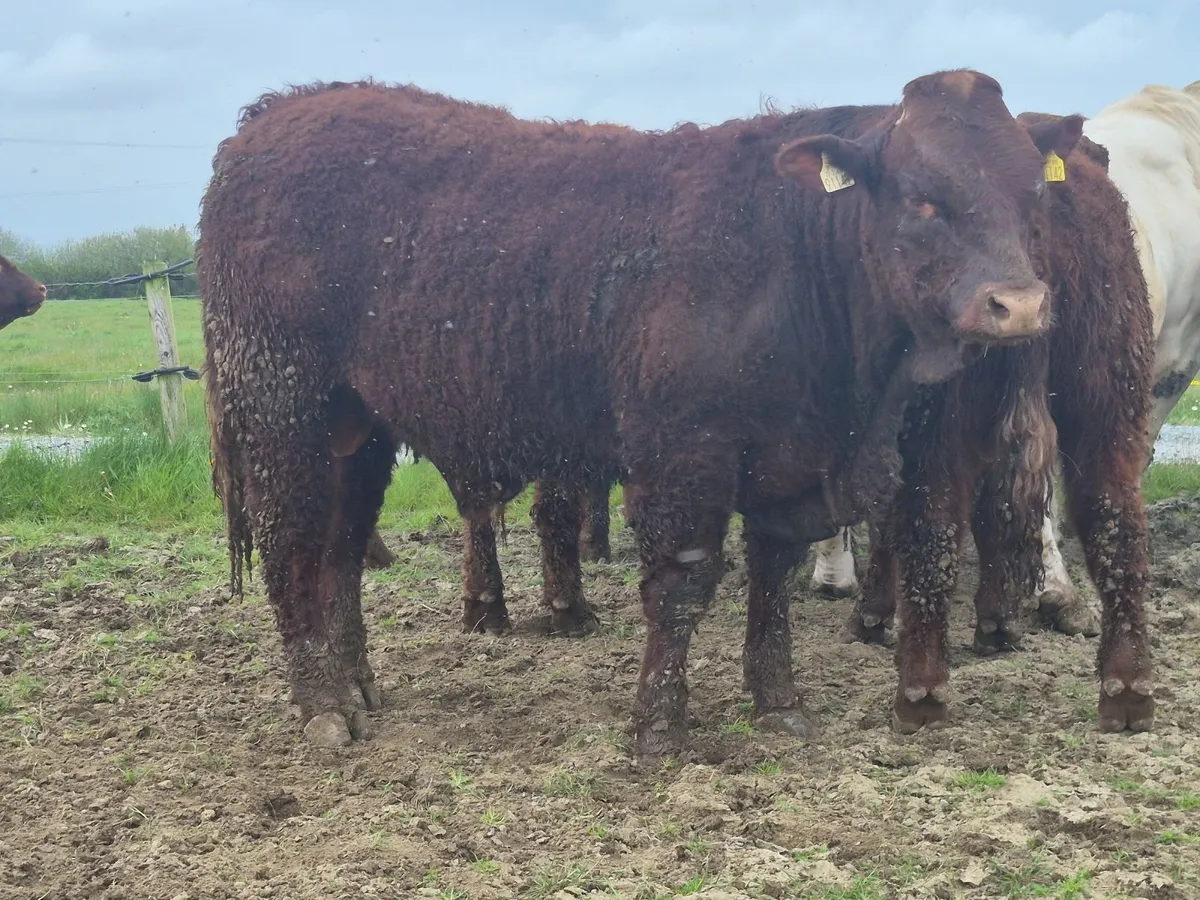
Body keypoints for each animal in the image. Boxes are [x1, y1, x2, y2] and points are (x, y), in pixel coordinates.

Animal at [198, 71, 1078, 754]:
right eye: (922, 200)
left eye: (1032, 191)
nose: (1020, 305)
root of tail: (271, 117)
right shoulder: (681, 450)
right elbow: (681, 585)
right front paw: (660, 727)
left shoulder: (783, 459)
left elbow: (773, 577)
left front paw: (779, 703)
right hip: (282, 408)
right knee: (289, 548)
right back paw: (322, 709)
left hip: (359, 429)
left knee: (340, 552)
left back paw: (357, 687)